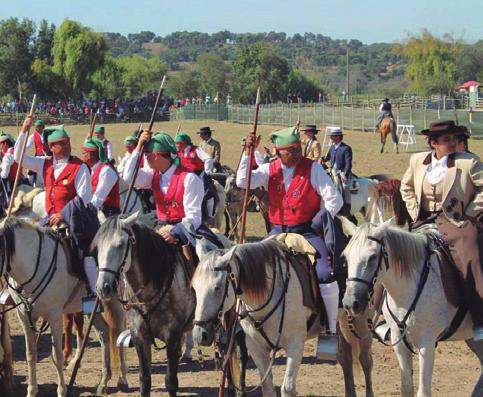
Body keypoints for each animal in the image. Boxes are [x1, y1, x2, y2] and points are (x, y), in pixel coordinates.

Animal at [0, 217, 129, 396]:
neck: (34, 264)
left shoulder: (54, 317)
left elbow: (57, 356)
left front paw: (62, 390)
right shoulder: (24, 317)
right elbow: (30, 354)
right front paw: (31, 391)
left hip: (114, 301)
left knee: (119, 330)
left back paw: (122, 380)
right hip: (93, 309)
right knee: (104, 333)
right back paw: (103, 381)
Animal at [342, 220, 482, 396]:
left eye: (373, 256)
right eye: (346, 257)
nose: (350, 303)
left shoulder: (427, 344)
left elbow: (423, 391)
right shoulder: (399, 343)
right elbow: (406, 389)